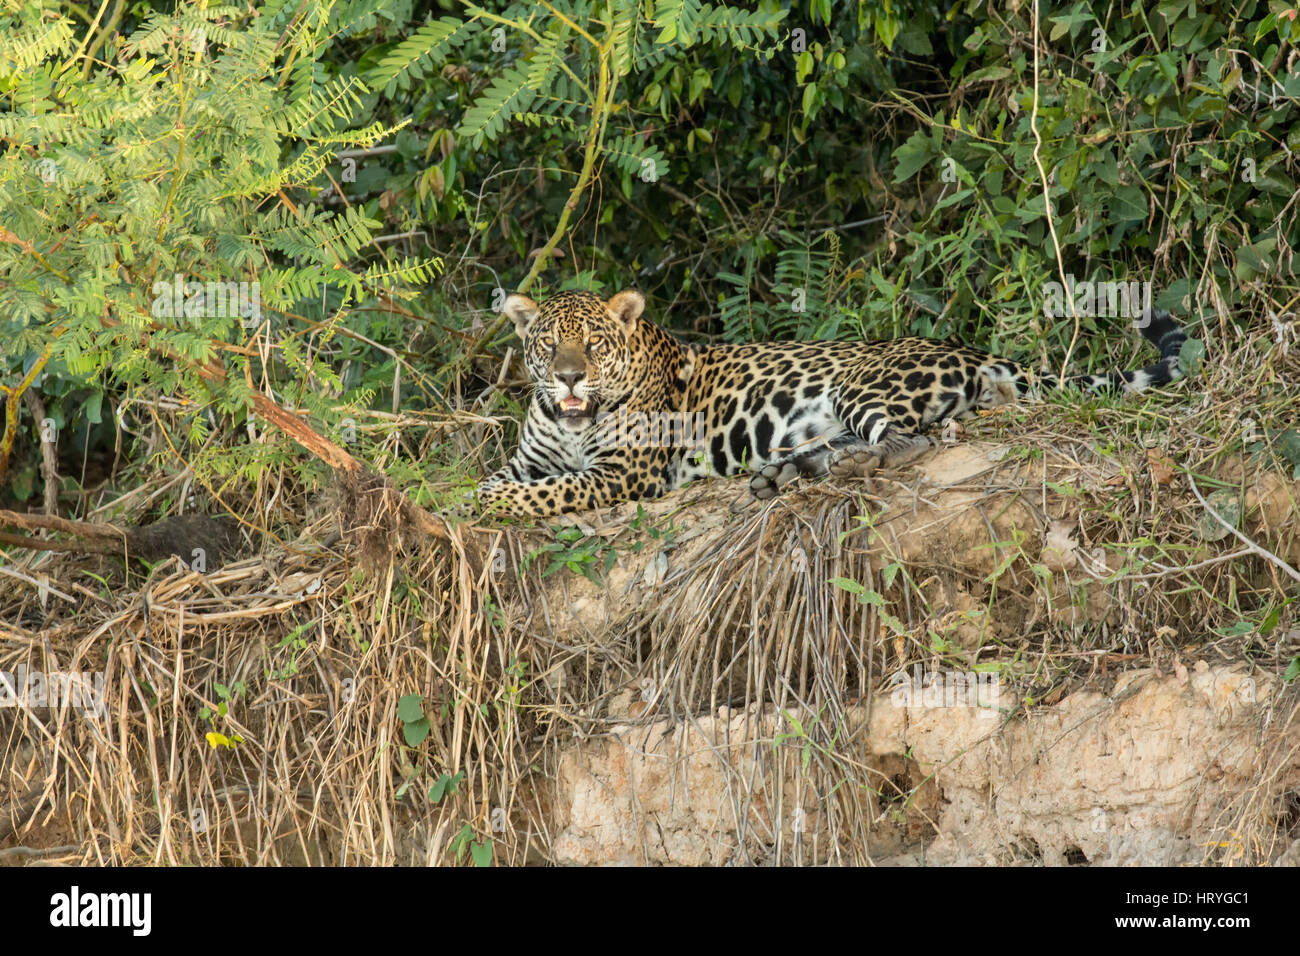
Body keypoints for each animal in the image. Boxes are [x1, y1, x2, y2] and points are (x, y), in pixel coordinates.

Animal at [471, 288, 1186, 517]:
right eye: (548, 345)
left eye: (593, 344)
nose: (568, 379)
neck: (572, 421)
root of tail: (971, 350)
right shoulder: (530, 458)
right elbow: (506, 480)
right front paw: (464, 499)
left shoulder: (620, 473)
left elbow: (548, 493)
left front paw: (483, 506)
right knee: (855, 441)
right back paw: (785, 473)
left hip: (860, 384)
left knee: (904, 441)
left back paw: (830, 468)